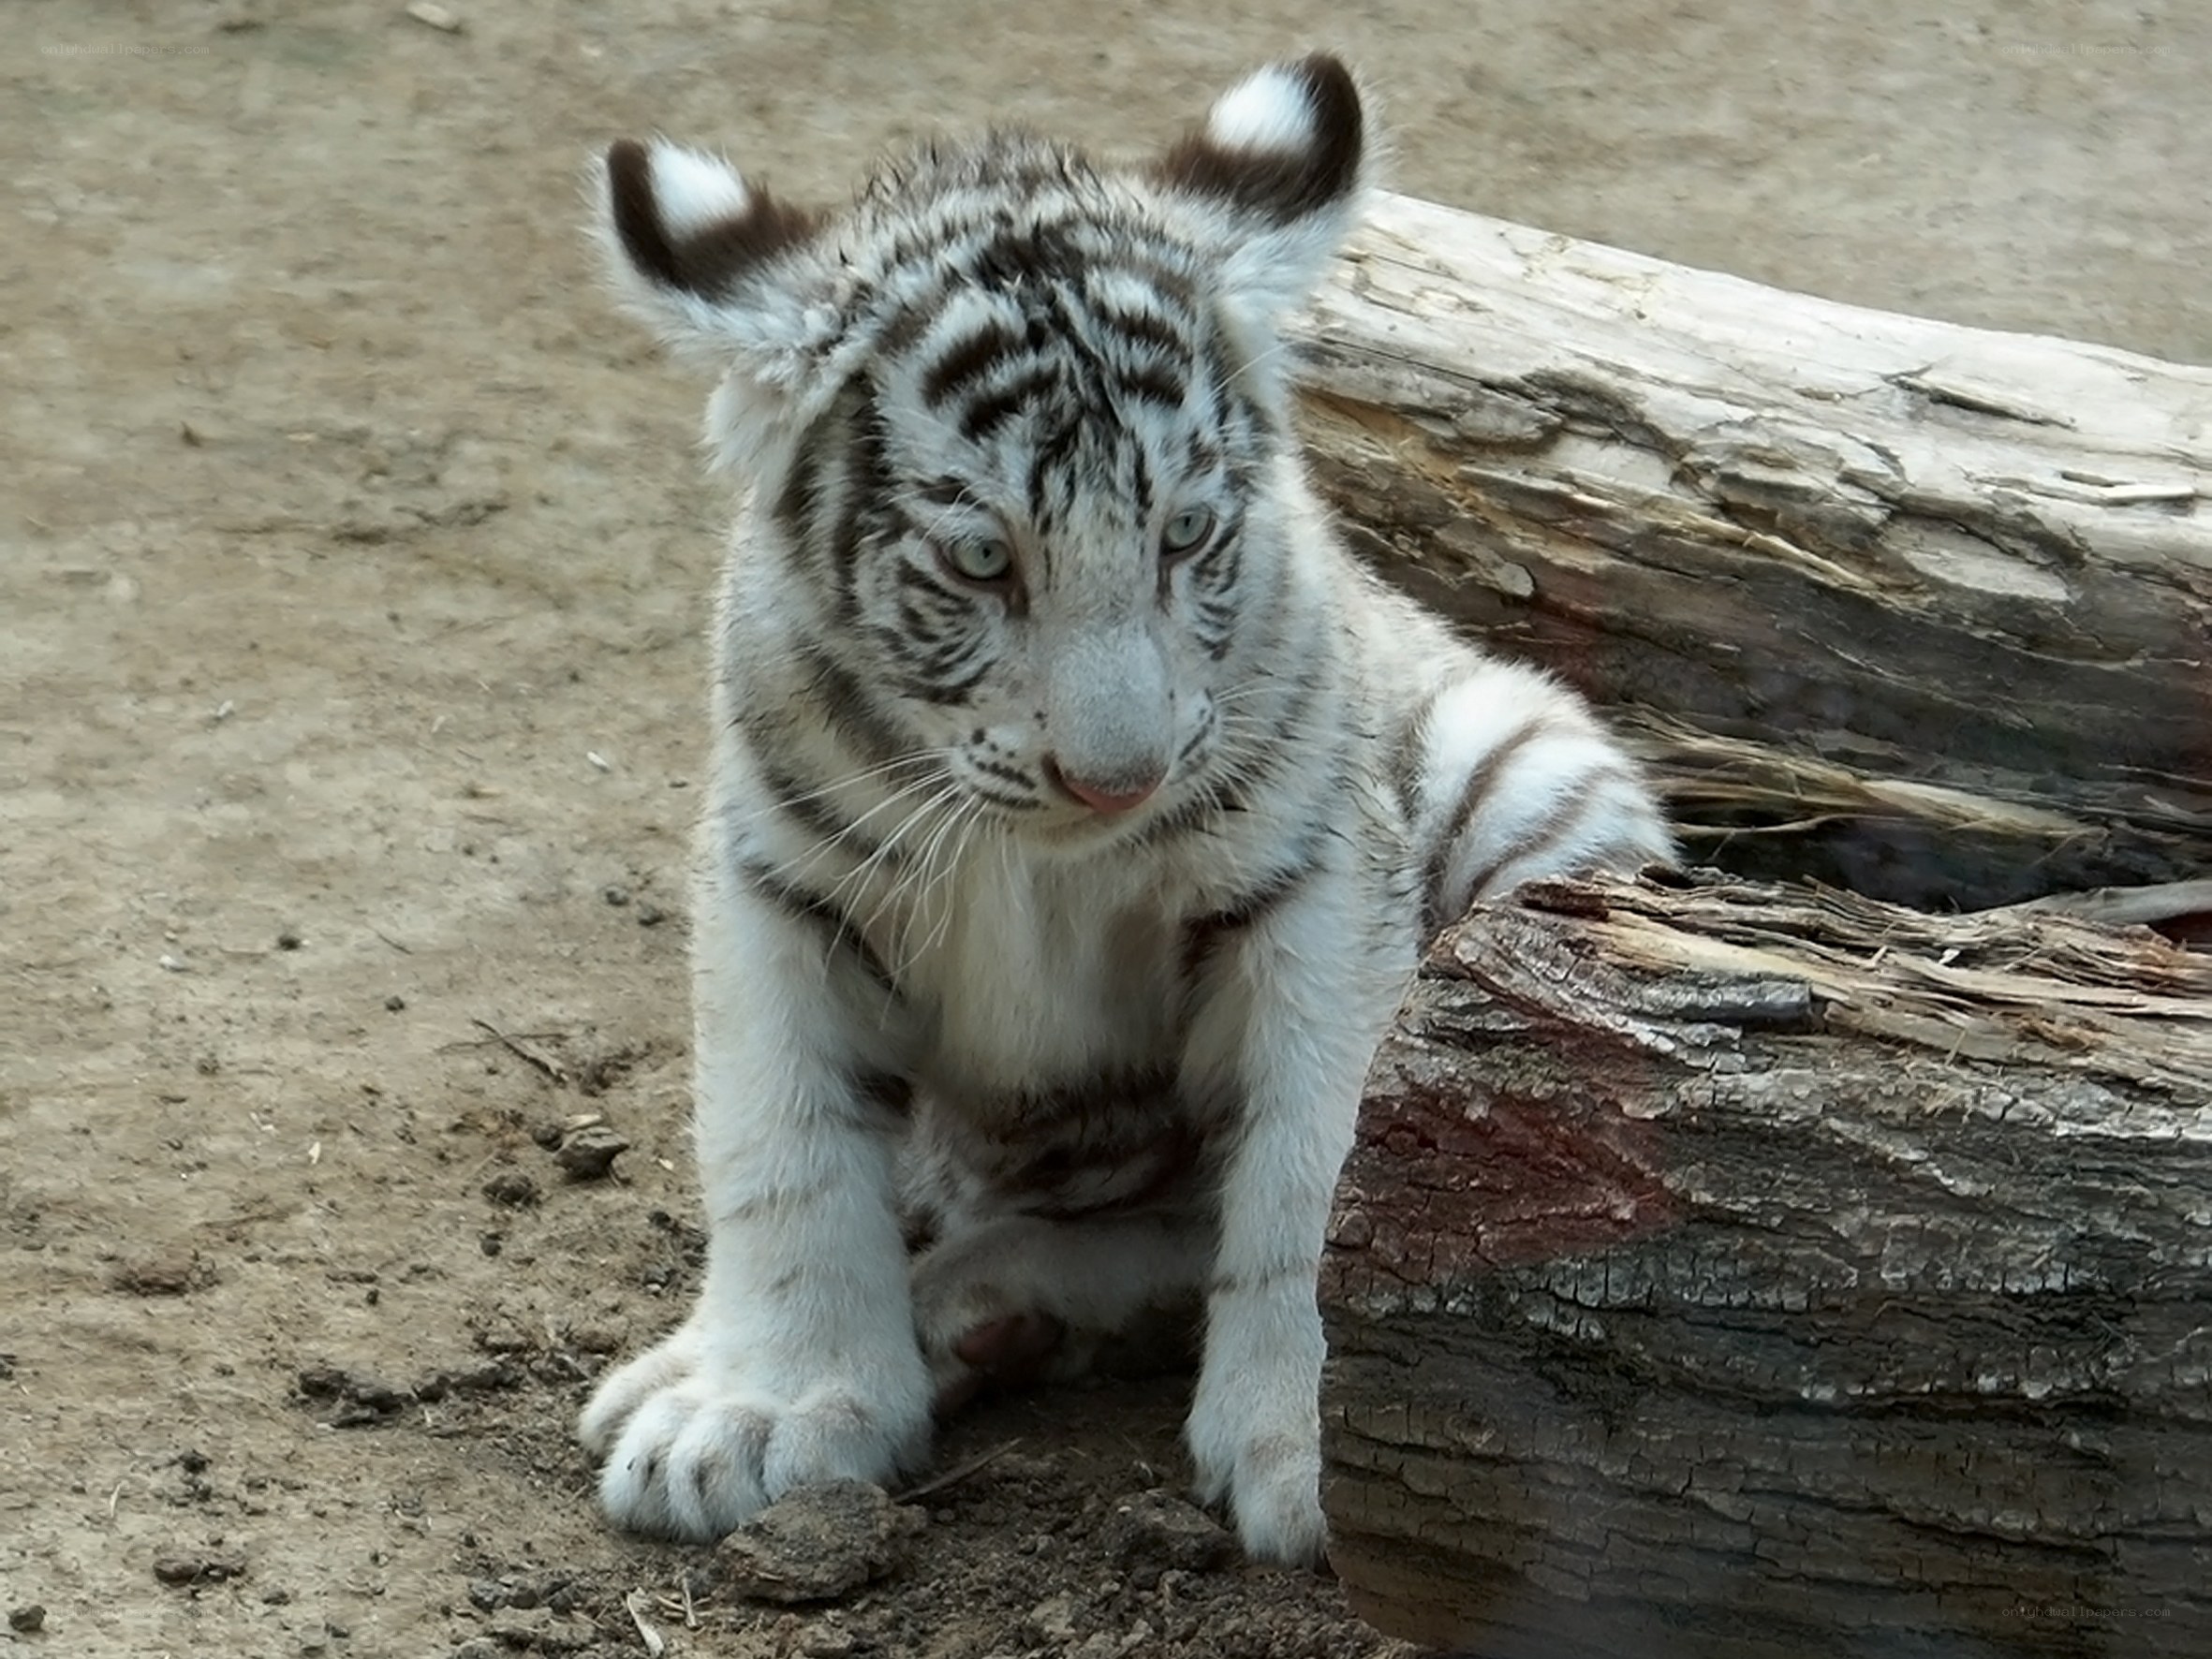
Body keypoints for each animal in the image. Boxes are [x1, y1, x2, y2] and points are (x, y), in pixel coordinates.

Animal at [574, 53, 1673, 1565]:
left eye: (1186, 535)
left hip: (1521, 772)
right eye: (982, 561)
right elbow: (779, 1147)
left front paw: (1316, 1442)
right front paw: (763, 1407)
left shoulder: (1314, 887)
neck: (1043, 852)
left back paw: (986, 1306)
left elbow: (1319, 1175)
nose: (1118, 778)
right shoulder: (776, 880)